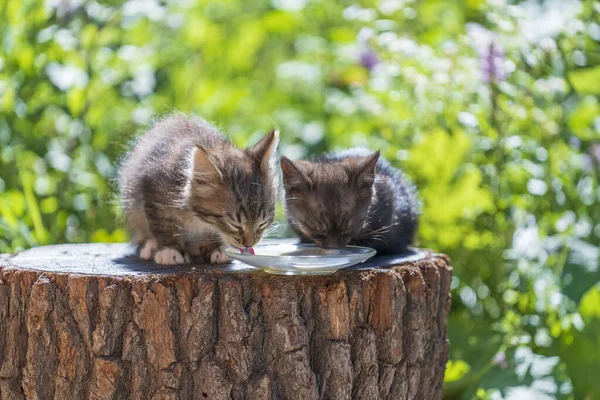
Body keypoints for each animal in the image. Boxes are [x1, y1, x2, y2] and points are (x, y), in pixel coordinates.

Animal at [118, 115, 280, 266]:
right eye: (235, 225)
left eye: (262, 224)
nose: (249, 245)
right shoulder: (153, 191)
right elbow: (162, 223)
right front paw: (170, 249)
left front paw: (215, 248)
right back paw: (150, 245)